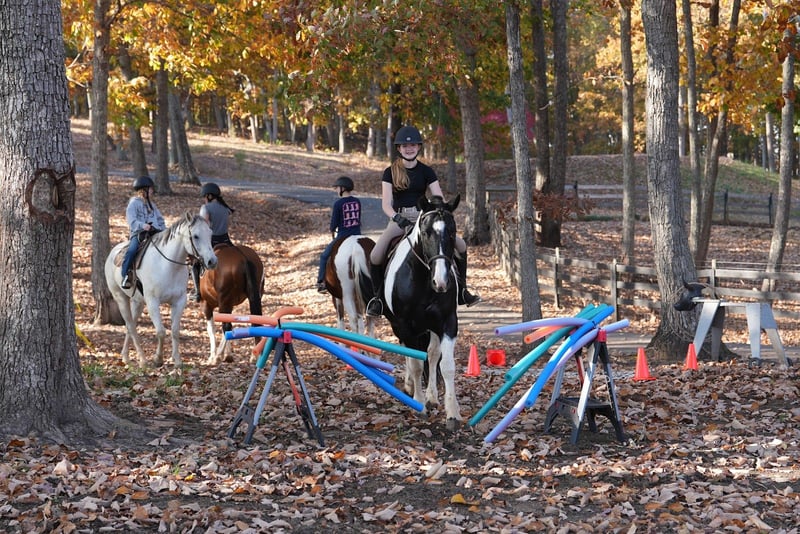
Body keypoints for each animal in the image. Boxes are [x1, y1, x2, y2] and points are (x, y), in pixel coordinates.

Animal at [104, 211, 218, 367]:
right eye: (195, 236)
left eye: (210, 233)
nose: (212, 261)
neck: (167, 266)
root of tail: (112, 253)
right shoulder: (153, 302)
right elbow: (161, 331)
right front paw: (158, 359)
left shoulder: (179, 301)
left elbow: (175, 331)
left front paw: (177, 360)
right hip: (121, 298)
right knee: (131, 326)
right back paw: (143, 360)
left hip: (137, 302)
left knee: (129, 325)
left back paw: (126, 357)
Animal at [381, 195, 462, 430]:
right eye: (426, 233)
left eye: (453, 232)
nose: (441, 282)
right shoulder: (405, 325)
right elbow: (416, 365)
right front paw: (419, 406)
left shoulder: (447, 323)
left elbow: (446, 365)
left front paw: (452, 413)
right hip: (400, 326)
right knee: (408, 352)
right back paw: (410, 387)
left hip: (431, 327)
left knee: (432, 354)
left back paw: (432, 397)